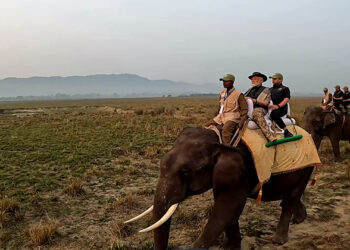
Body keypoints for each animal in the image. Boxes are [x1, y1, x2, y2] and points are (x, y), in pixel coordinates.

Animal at [126, 128, 314, 249]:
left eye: (185, 172)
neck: (219, 142)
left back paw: (279, 241)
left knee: (291, 198)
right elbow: (229, 213)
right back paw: (299, 219)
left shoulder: (243, 171)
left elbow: (226, 211)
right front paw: (230, 246)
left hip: (307, 167)